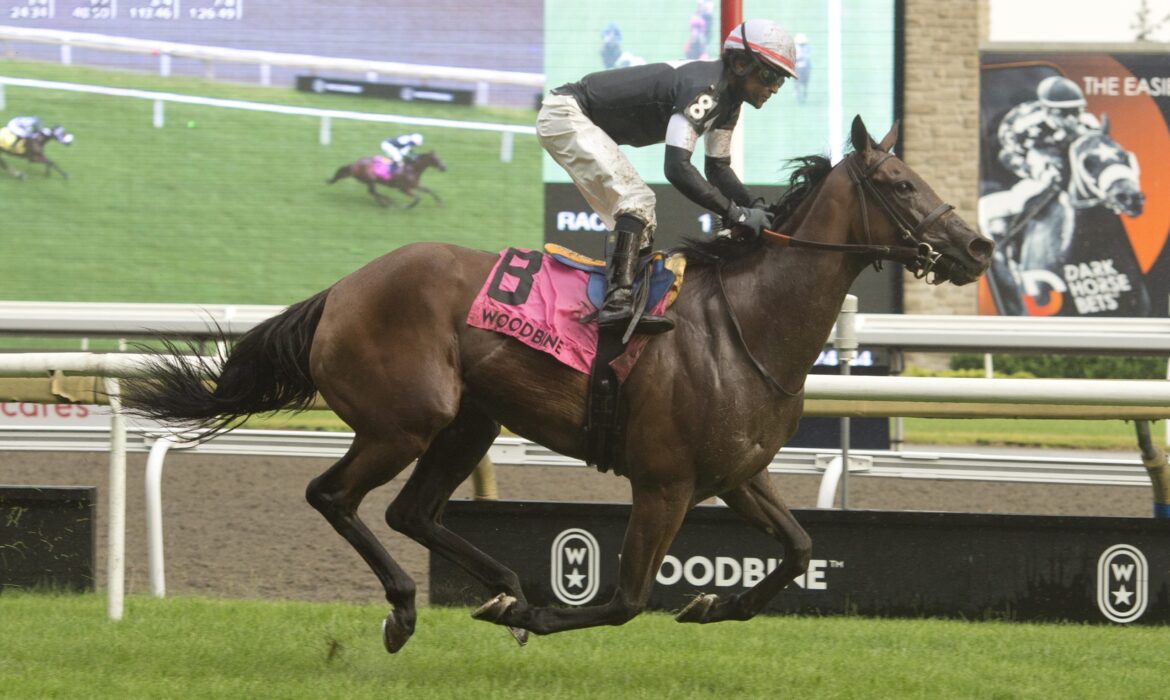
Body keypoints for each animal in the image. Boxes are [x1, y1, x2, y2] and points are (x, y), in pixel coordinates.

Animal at [125, 116, 987, 660]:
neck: (746, 325)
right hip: (407, 420)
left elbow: (800, 547)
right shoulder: (665, 482)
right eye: (901, 184)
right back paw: (410, 605)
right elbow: (625, 599)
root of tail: (341, 288)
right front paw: (541, 611)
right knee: (333, 496)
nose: (976, 246)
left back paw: (500, 587)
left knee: (411, 510)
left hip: (469, 420)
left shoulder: (736, 475)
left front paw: (713, 602)